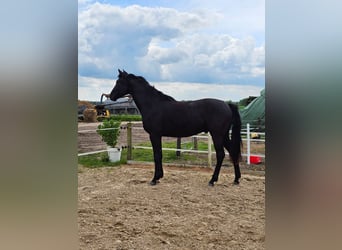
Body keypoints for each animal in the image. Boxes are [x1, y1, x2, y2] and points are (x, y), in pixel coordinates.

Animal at [103, 70, 242, 186]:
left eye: (119, 82)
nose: (111, 96)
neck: (153, 104)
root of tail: (227, 105)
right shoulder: (157, 135)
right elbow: (160, 154)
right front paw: (159, 177)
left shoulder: (154, 135)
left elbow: (157, 155)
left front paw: (154, 179)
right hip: (224, 135)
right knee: (232, 152)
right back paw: (236, 179)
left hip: (217, 135)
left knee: (221, 154)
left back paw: (212, 180)